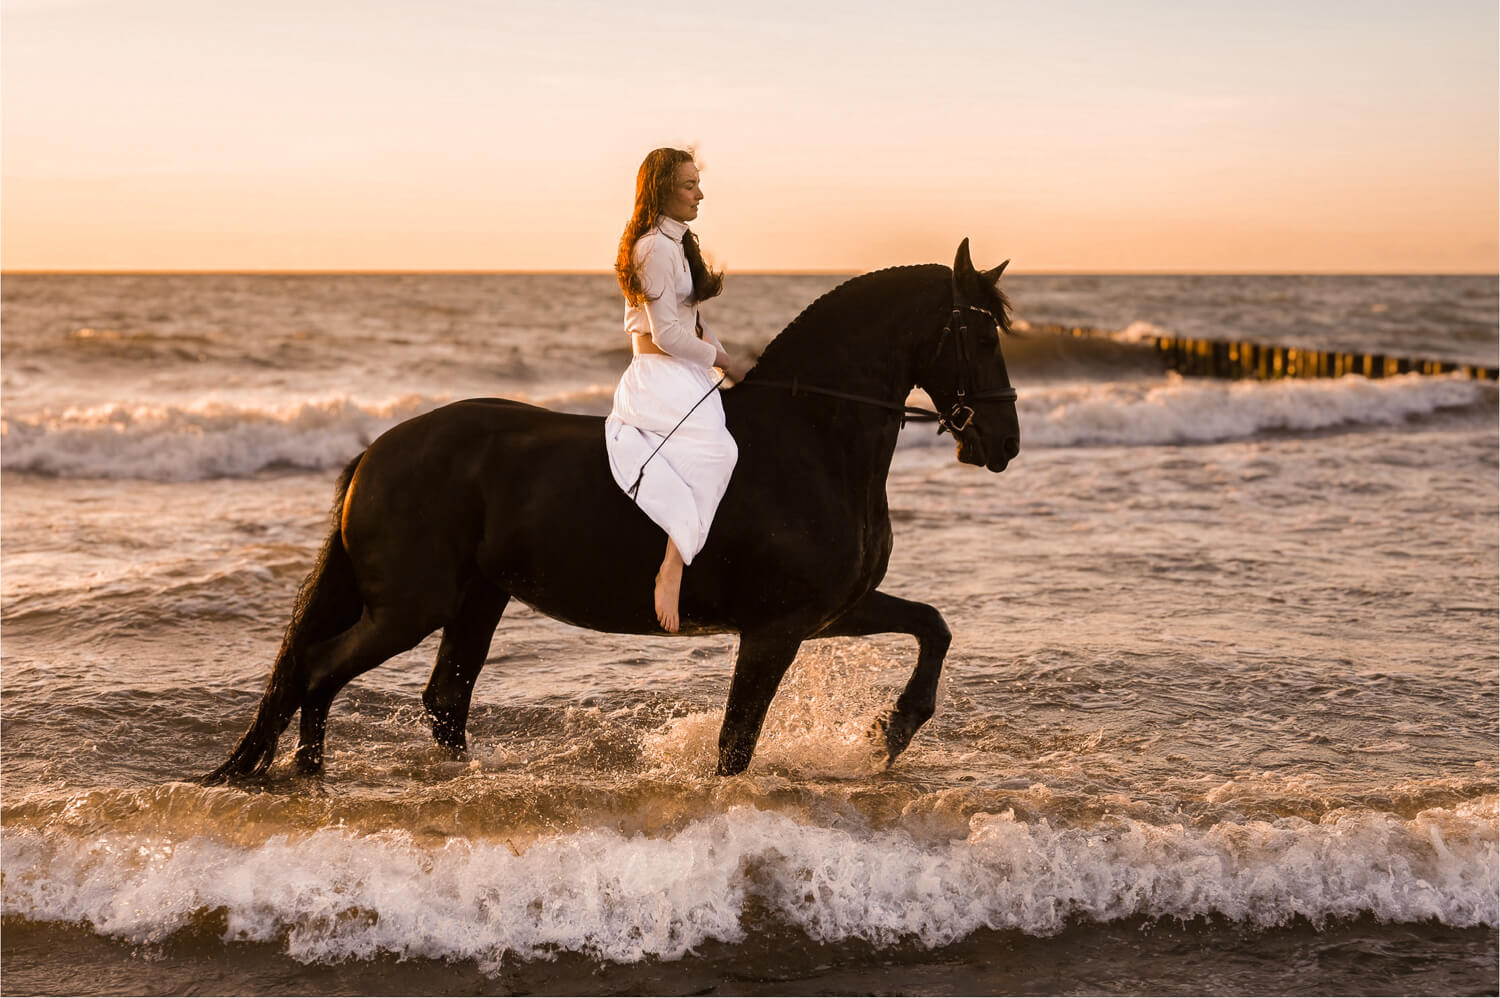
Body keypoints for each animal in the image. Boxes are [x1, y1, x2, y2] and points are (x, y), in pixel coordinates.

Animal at [204, 239, 1020, 783]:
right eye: (981, 334)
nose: (1002, 442)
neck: (812, 441)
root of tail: (375, 453)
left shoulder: (827, 612)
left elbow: (933, 624)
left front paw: (892, 730)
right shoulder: (775, 629)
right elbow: (735, 745)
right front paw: (884, 732)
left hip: (476, 598)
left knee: (438, 698)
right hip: (414, 604)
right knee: (321, 670)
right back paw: (309, 776)